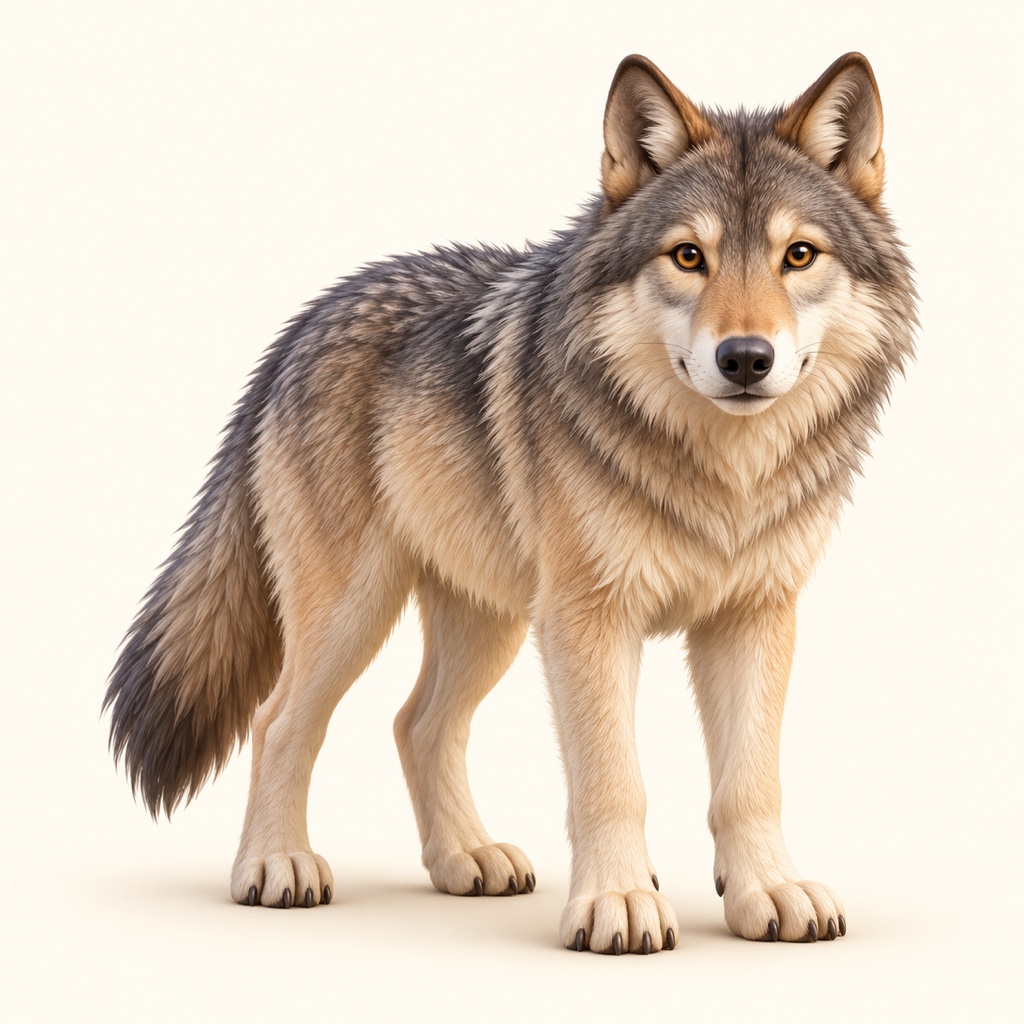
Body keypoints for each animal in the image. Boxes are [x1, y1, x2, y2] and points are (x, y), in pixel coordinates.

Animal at [105, 52, 915, 955]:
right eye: (688, 256)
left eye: (799, 255)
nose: (745, 358)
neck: (721, 473)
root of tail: (302, 325)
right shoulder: (589, 619)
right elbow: (612, 778)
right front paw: (619, 903)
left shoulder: (753, 616)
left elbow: (750, 781)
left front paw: (766, 891)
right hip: (358, 614)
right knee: (280, 721)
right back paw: (276, 865)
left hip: (492, 619)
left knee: (416, 723)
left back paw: (467, 858)